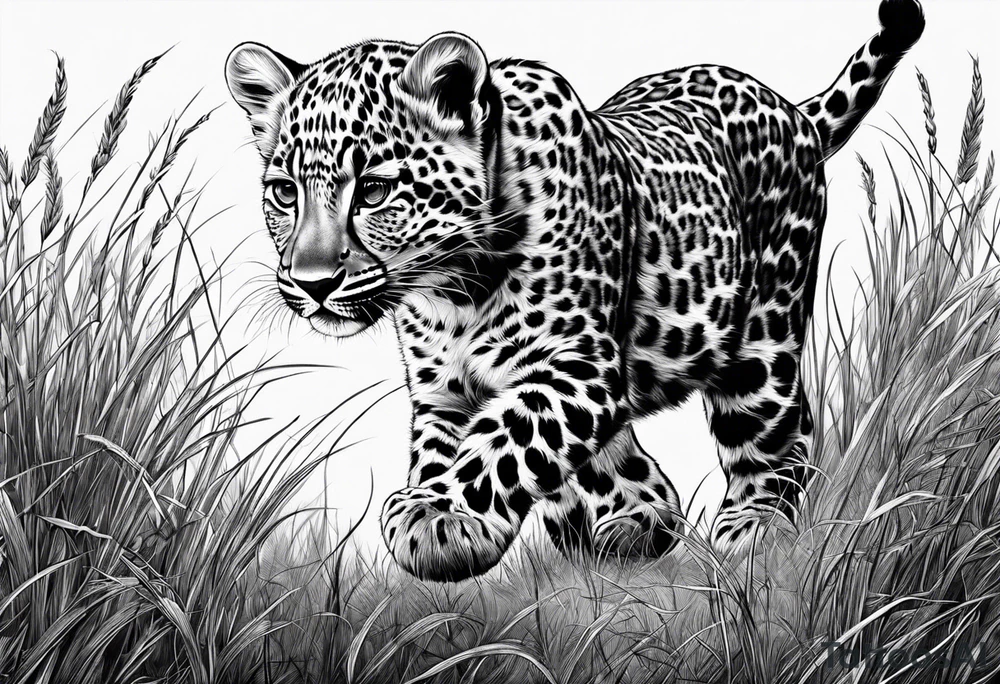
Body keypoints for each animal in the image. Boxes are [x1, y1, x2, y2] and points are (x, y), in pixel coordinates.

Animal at [226, 0, 925, 582]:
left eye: (372, 190)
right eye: (284, 192)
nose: (312, 284)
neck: (453, 290)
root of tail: (791, 107)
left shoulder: (578, 363)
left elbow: (508, 436)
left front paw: (443, 517)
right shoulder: (441, 390)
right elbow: (446, 447)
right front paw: (434, 505)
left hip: (763, 334)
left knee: (777, 434)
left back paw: (755, 530)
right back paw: (633, 521)